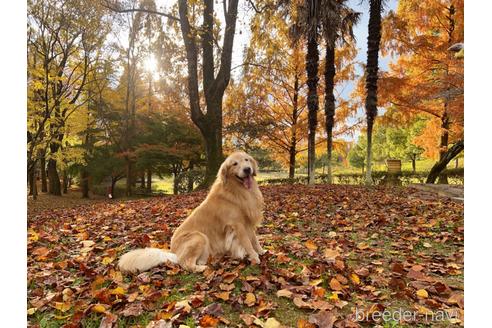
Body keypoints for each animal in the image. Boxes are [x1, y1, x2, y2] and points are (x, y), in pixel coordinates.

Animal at [118, 151, 266, 272]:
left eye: (246, 160)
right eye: (235, 163)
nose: (247, 169)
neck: (238, 191)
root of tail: (173, 252)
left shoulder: (247, 222)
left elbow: (254, 240)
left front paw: (261, 251)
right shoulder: (237, 224)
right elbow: (247, 242)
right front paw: (255, 257)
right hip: (199, 237)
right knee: (185, 263)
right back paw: (201, 268)